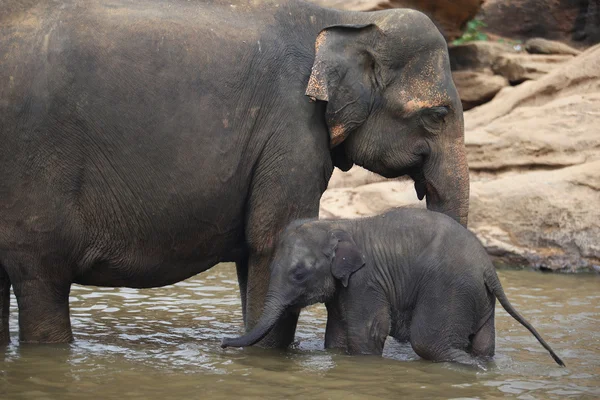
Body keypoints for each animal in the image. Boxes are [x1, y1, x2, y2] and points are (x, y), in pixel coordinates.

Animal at [223, 208, 564, 368]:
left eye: (298, 274)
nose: (224, 343)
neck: (340, 224)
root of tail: (488, 269)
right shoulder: (346, 286)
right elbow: (337, 334)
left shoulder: (365, 282)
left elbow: (368, 332)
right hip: (479, 297)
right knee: (483, 345)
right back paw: (483, 365)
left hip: (449, 289)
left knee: (428, 342)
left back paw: (471, 367)